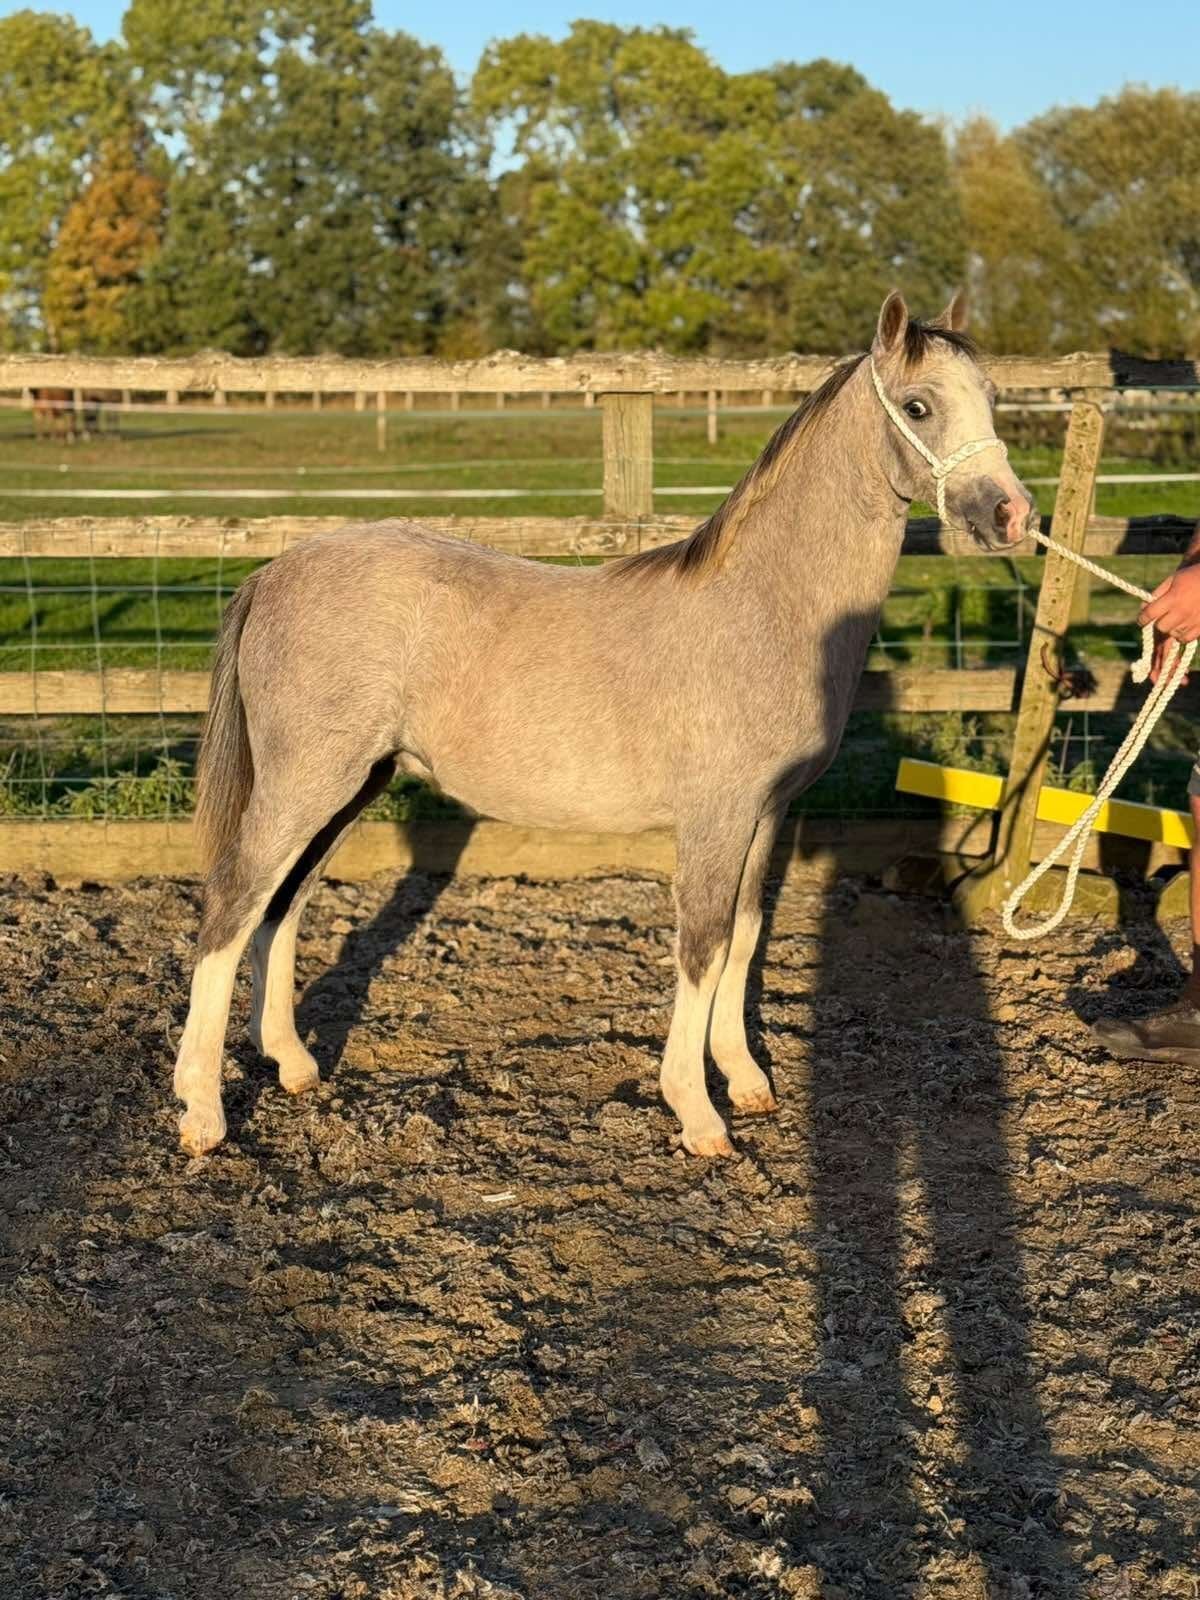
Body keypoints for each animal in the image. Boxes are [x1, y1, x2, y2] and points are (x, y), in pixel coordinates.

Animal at [172, 290, 1037, 1159]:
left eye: (994, 396)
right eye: (919, 406)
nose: (1012, 514)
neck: (765, 607)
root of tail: (274, 572)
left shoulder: (766, 816)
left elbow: (745, 933)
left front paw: (746, 1081)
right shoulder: (716, 817)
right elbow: (703, 946)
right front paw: (698, 1113)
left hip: (353, 787)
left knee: (282, 904)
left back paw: (291, 1064)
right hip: (308, 783)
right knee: (232, 904)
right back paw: (203, 1112)